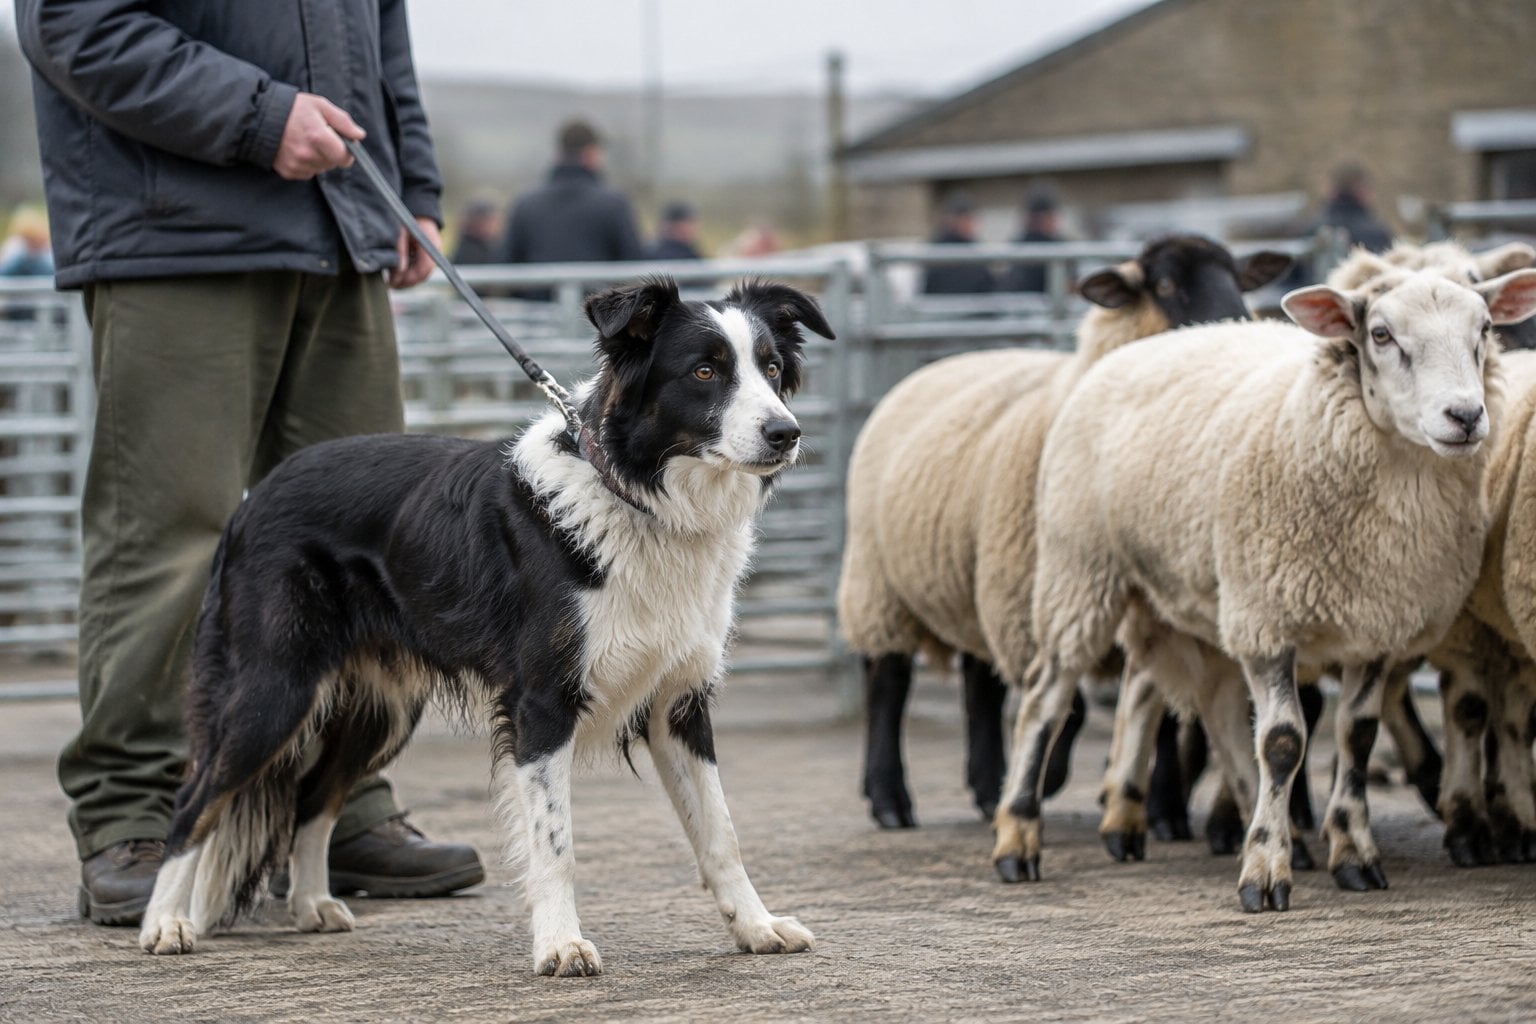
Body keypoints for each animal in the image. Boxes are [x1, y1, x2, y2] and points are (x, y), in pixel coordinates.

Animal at [838, 235, 1291, 830]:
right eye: (1164, 284)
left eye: (1238, 277)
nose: (1232, 326)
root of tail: (945, 360)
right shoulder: (1038, 603)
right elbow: (1069, 706)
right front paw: (1049, 780)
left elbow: (1166, 716)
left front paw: (1163, 811)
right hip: (881, 581)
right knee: (888, 682)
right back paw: (891, 799)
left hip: (980, 579)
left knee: (979, 684)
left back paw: (985, 784)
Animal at [1002, 264, 1536, 912]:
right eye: (1381, 335)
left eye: (1484, 328)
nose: (1464, 416)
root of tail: (1135, 349)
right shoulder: (1266, 621)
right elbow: (1283, 743)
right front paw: (1263, 872)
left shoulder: (1377, 628)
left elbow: (1356, 737)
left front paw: (1352, 854)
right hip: (1080, 570)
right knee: (1044, 700)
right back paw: (1017, 840)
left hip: (1184, 601)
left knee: (1203, 706)